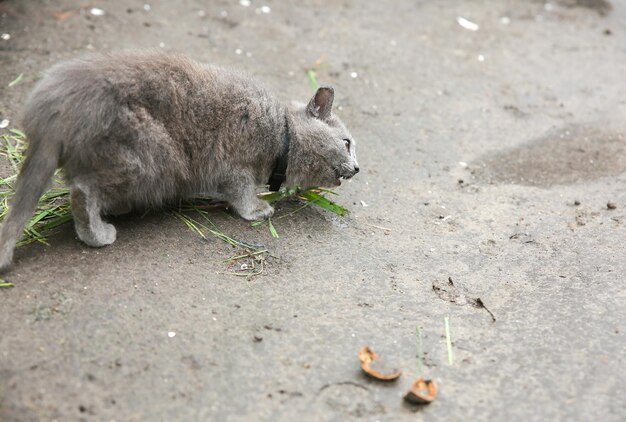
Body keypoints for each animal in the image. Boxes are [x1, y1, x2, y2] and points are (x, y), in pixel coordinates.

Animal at [0, 52, 358, 270]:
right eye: (347, 143)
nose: (357, 168)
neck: (281, 134)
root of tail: (54, 107)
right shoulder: (235, 163)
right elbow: (241, 192)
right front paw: (257, 210)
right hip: (149, 155)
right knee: (82, 191)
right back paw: (97, 234)